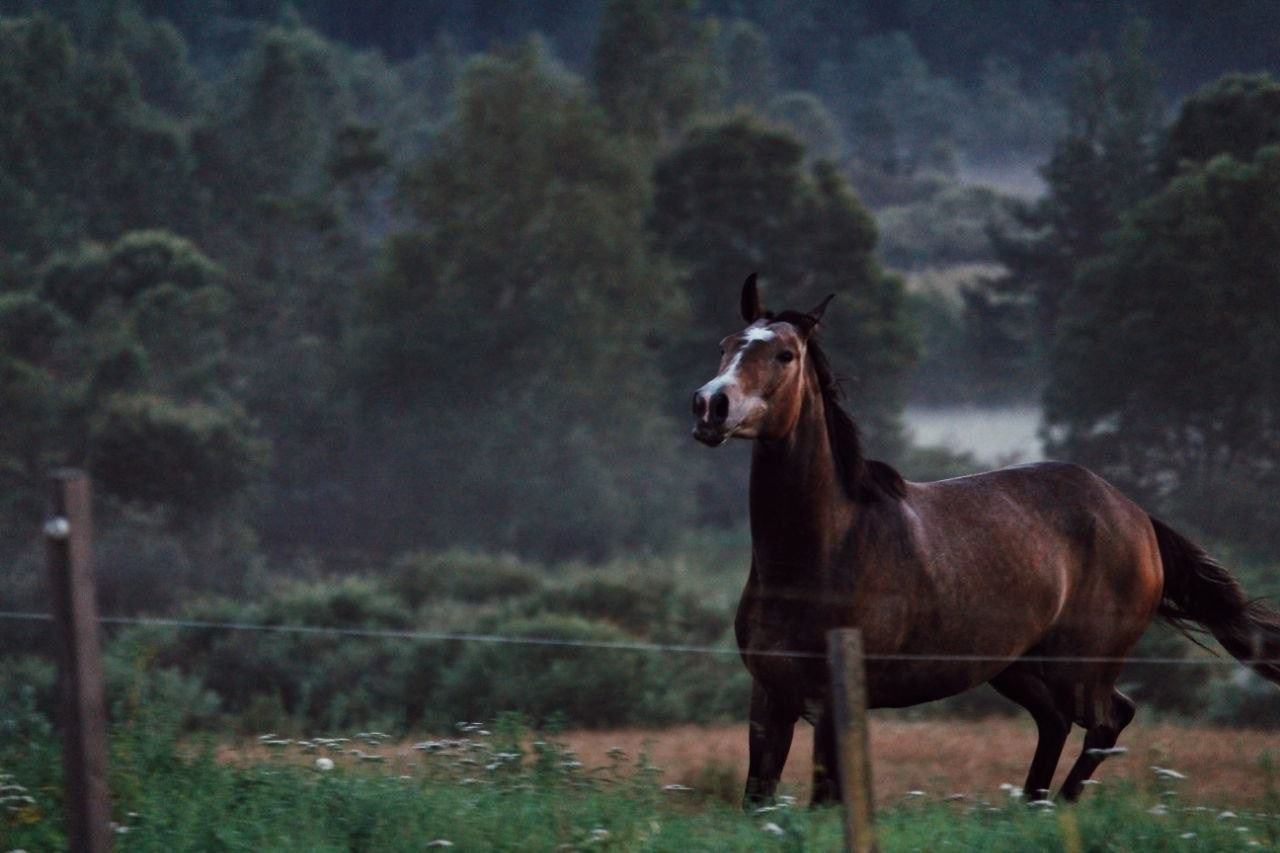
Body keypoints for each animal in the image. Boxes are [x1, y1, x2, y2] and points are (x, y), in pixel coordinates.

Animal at [691, 273, 1280, 808]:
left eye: (785, 354)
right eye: (725, 345)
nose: (710, 407)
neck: (823, 549)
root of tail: (1136, 517)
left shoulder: (836, 702)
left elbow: (825, 800)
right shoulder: (771, 696)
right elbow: (757, 798)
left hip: (1081, 665)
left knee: (1108, 719)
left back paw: (1059, 806)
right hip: (1016, 665)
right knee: (1056, 722)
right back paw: (1032, 808)